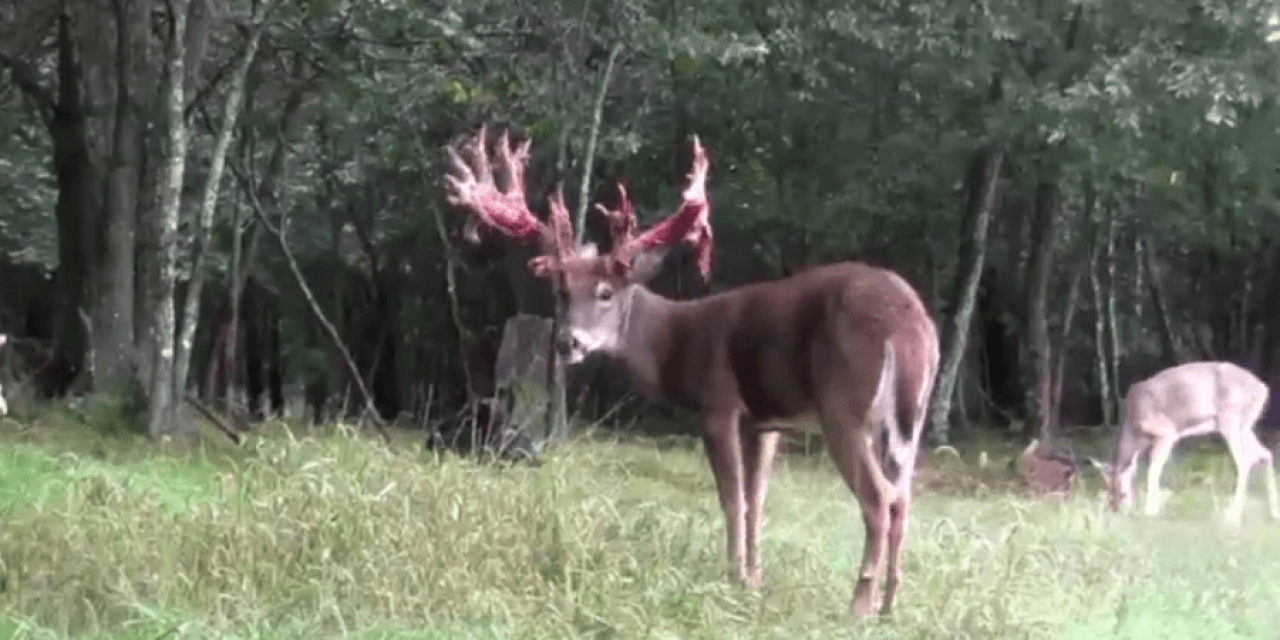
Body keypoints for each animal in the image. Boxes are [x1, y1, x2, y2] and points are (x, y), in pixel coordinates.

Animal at [442, 122, 942, 616]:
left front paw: (733, 577)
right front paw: (754, 580)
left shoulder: (718, 400)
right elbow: (756, 500)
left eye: (605, 293)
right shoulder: (764, 421)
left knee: (879, 497)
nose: (569, 341)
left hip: (845, 404)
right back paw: (890, 603)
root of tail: (910, 325)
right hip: (906, 419)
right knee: (903, 494)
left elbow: (731, 497)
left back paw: (860, 603)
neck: (678, 343)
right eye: (562, 292)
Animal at [1090, 360, 1280, 524]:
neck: (1135, 429)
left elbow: (1153, 470)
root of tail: (1263, 389)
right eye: (1106, 490)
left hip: (1231, 419)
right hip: (1244, 426)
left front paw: (1150, 510)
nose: (1118, 511)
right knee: (1265, 454)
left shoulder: (1166, 432)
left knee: (1244, 460)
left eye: (1123, 493)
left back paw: (1232, 515)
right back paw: (1274, 512)